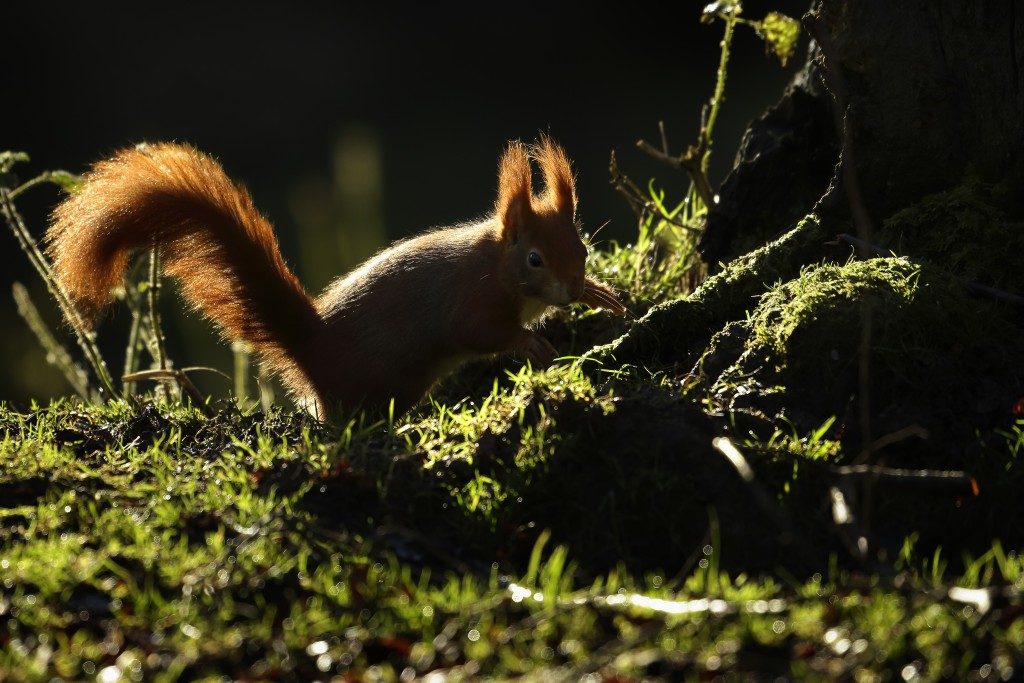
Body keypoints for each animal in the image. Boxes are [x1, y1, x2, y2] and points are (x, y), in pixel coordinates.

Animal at [46, 137, 622, 417]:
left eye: (582, 247)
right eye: (535, 260)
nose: (572, 287)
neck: (497, 264)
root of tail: (311, 346)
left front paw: (601, 296)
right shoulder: (470, 299)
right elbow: (480, 334)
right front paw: (531, 343)